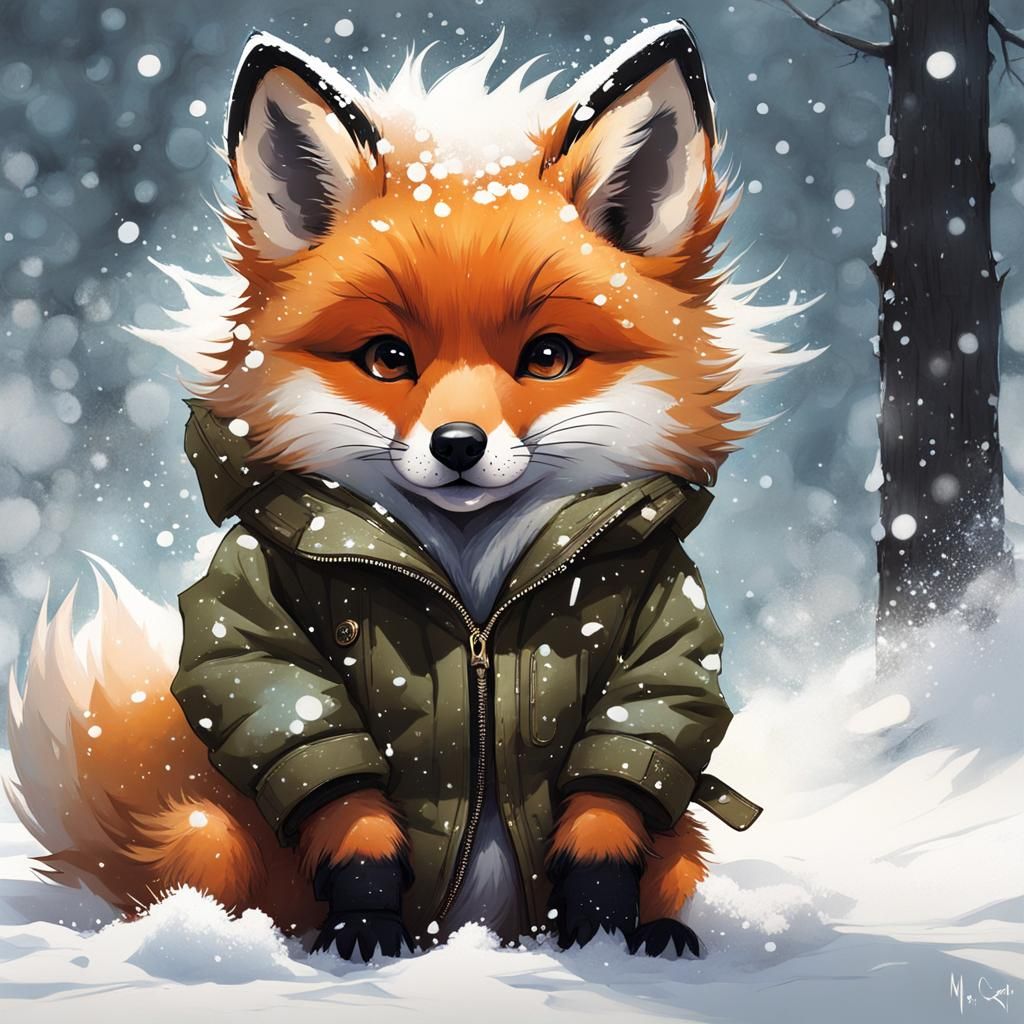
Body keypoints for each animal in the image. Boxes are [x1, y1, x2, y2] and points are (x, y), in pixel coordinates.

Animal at [5, 22, 812, 961]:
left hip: (685, 837)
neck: (473, 595)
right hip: (208, 831)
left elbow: (623, 768)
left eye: (548, 357)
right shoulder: (263, 622)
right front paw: (365, 912)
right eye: (388, 358)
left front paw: (605, 919)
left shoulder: (662, 619)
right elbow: (313, 749)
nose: (458, 445)